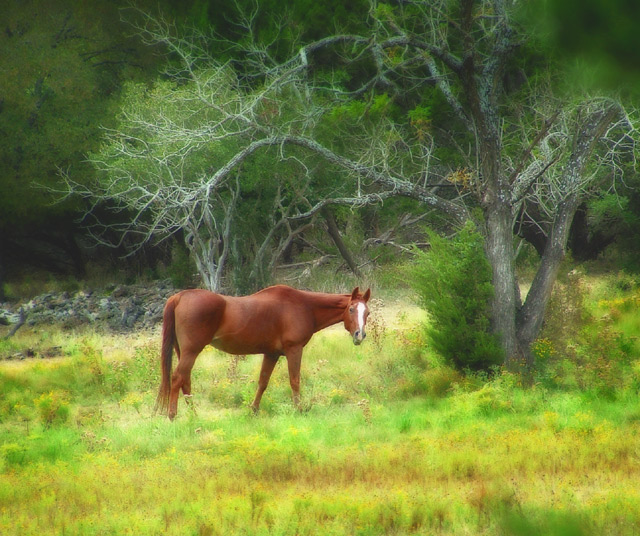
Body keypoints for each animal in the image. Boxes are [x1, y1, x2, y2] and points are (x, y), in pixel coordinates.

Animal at [157, 284, 372, 418]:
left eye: (367, 312)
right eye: (351, 309)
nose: (360, 335)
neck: (304, 306)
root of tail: (179, 297)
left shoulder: (271, 354)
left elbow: (262, 382)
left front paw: (253, 410)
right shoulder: (294, 350)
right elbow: (294, 380)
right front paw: (299, 409)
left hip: (184, 352)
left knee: (185, 381)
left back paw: (194, 415)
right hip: (191, 351)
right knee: (177, 378)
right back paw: (173, 415)